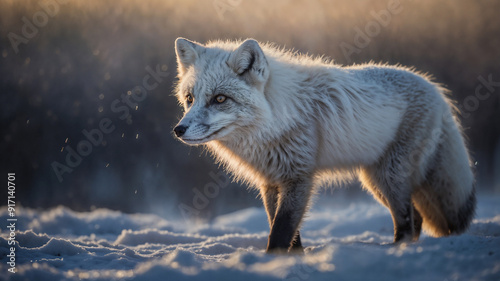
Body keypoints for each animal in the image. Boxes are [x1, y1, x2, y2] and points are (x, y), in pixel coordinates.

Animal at [172, 36, 476, 252]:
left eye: (220, 99)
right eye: (190, 99)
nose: (178, 130)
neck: (277, 119)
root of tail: (437, 90)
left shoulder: (299, 178)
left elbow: (281, 231)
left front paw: (272, 262)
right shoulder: (271, 182)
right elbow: (287, 232)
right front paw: (293, 260)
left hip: (389, 177)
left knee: (406, 220)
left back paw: (397, 251)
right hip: (378, 182)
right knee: (416, 218)